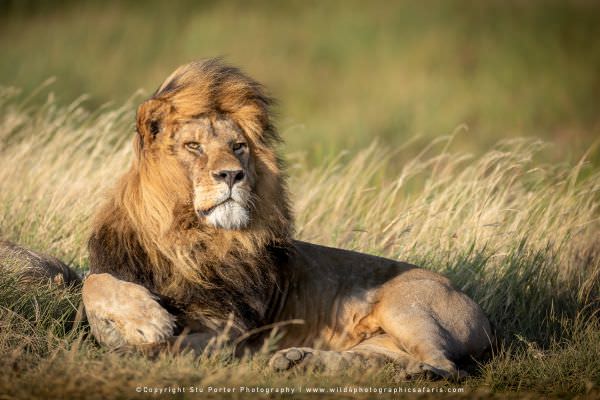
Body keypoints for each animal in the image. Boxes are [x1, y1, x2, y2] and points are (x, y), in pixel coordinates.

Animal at [81, 58, 492, 378]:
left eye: (238, 147)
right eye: (193, 146)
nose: (232, 175)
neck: (186, 240)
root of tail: (476, 307)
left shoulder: (227, 330)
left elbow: (167, 346)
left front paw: (141, 342)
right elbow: (93, 283)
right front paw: (146, 320)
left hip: (406, 306)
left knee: (447, 364)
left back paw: (425, 372)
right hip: (381, 341)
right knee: (371, 361)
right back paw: (298, 360)